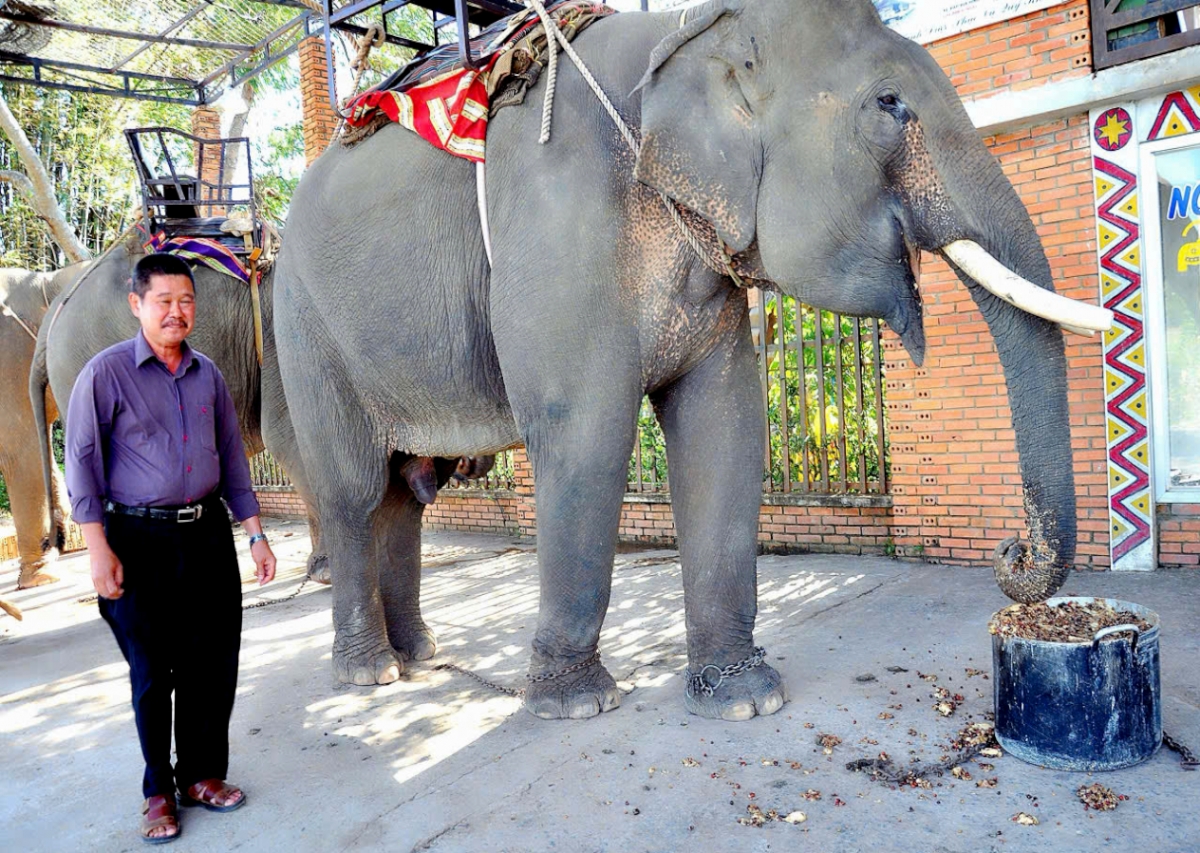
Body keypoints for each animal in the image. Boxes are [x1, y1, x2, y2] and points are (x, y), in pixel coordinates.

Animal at [274, 0, 1104, 719]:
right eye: (888, 104)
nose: (1011, 551)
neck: (688, 30)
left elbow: (724, 426)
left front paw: (745, 697)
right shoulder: (557, 223)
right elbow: (586, 434)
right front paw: (577, 704)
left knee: (402, 496)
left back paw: (418, 656)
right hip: (305, 329)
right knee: (351, 490)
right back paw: (369, 672)